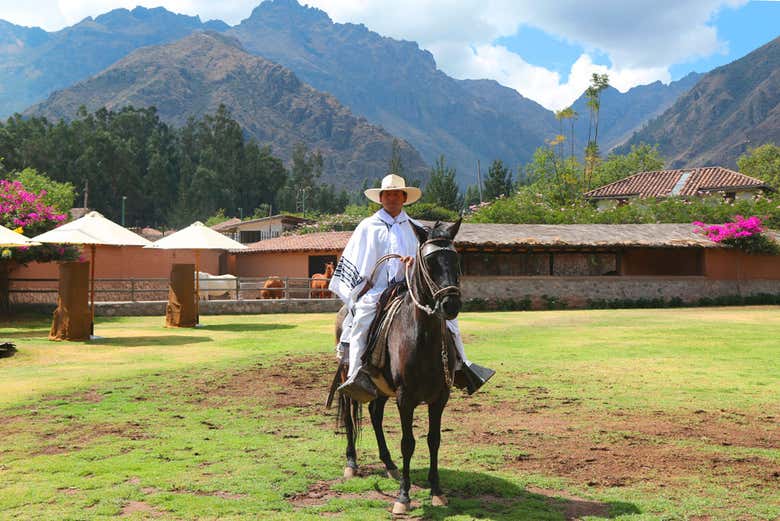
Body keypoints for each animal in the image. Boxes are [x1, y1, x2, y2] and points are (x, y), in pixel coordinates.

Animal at [332, 216, 460, 512]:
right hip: (349, 379)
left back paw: (389, 463)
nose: (450, 304)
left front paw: (437, 490)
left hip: (381, 388)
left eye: (455, 258)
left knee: (375, 414)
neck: (422, 338)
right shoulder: (405, 397)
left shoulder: (440, 397)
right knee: (350, 415)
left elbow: (433, 440)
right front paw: (403, 496)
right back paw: (352, 462)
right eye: (429, 262)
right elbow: (408, 443)